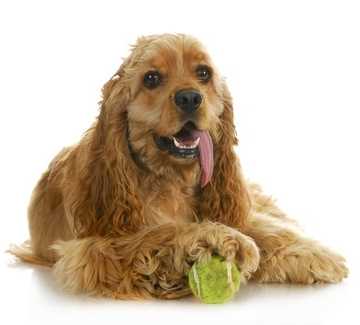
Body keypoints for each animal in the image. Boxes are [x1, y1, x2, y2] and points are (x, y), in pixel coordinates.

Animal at [9, 33, 348, 298]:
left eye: (203, 73)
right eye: (151, 78)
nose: (189, 98)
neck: (172, 179)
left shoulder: (234, 205)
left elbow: (261, 227)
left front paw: (310, 253)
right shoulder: (93, 249)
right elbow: (160, 233)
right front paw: (219, 239)